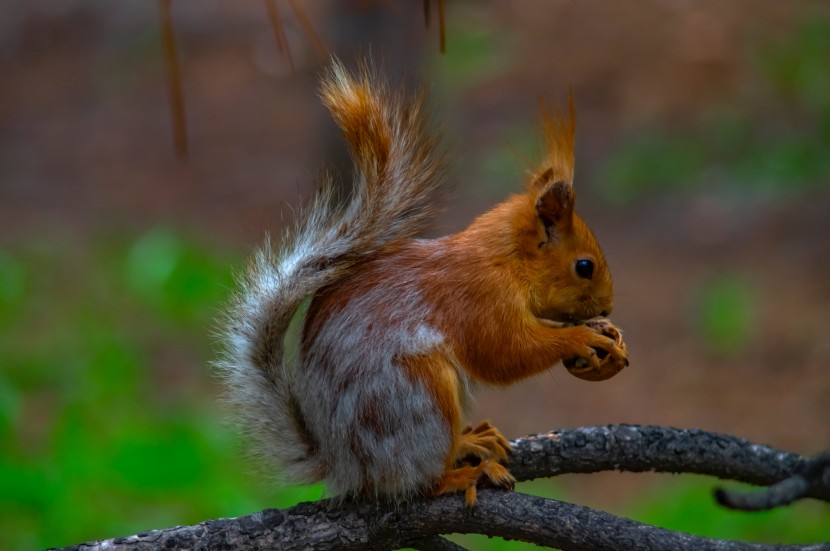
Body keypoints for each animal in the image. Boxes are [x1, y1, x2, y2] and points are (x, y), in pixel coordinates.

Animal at [218, 60, 628, 508]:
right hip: (417, 397)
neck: (505, 262)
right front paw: (578, 338)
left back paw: (470, 443)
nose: (606, 308)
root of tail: (346, 466)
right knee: (413, 483)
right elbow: (504, 353)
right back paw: (462, 474)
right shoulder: (480, 298)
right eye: (584, 266)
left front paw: (601, 330)